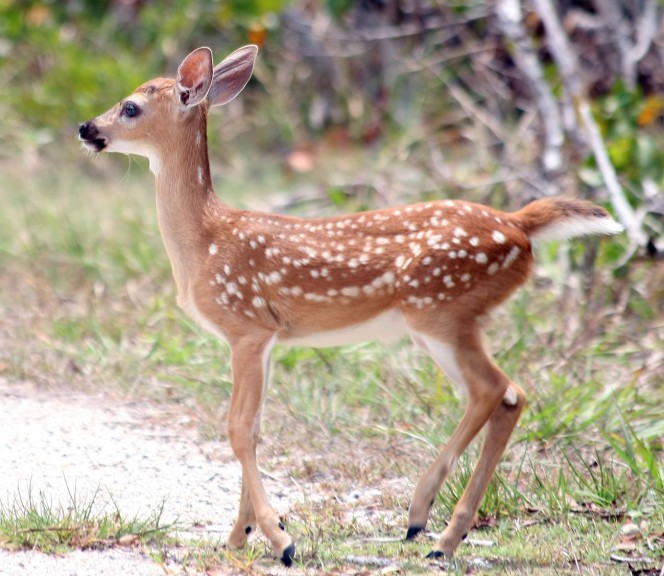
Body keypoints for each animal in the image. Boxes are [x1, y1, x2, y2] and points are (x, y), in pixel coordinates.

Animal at [80, 46, 624, 568]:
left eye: (131, 106)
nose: (86, 128)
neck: (205, 242)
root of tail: (519, 225)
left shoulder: (246, 325)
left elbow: (237, 430)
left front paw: (280, 540)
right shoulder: (269, 336)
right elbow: (254, 428)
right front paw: (238, 538)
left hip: (440, 309)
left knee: (493, 389)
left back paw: (427, 521)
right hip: (449, 319)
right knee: (509, 396)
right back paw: (442, 531)